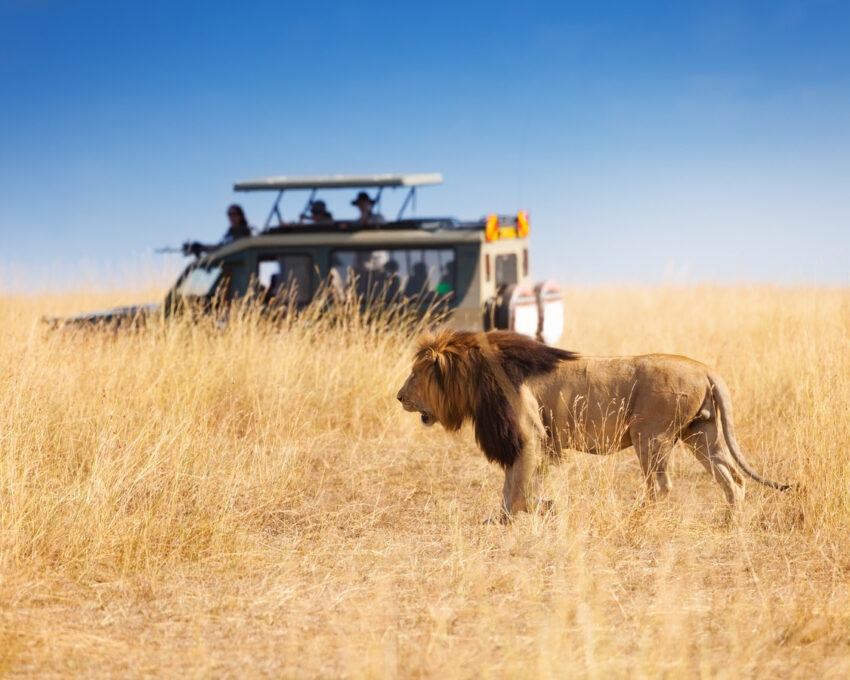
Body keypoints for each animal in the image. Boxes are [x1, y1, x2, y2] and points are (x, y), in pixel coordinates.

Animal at [396, 329, 791, 518]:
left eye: (415, 374)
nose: (399, 397)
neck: (476, 376)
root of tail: (705, 368)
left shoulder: (529, 435)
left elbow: (519, 489)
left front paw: (543, 509)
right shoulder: (531, 441)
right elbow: (512, 487)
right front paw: (504, 519)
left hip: (650, 435)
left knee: (661, 486)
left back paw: (635, 517)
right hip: (700, 434)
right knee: (733, 478)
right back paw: (730, 525)